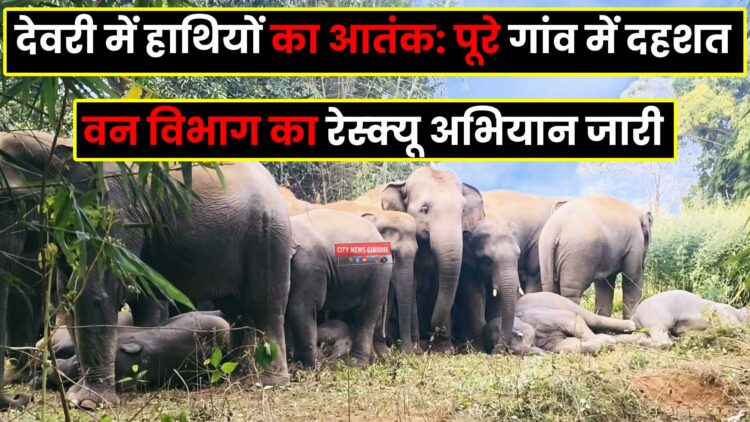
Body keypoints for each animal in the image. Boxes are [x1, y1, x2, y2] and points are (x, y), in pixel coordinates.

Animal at [288, 209, 391, 368]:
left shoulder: (309, 265)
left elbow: (300, 306)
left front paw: (302, 368)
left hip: (380, 273)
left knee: (366, 314)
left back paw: (356, 364)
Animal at [380, 167, 485, 350]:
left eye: (463, 210)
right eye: (424, 209)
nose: (433, 331)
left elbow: (439, 282)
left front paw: (444, 350)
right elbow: (412, 283)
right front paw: (417, 348)